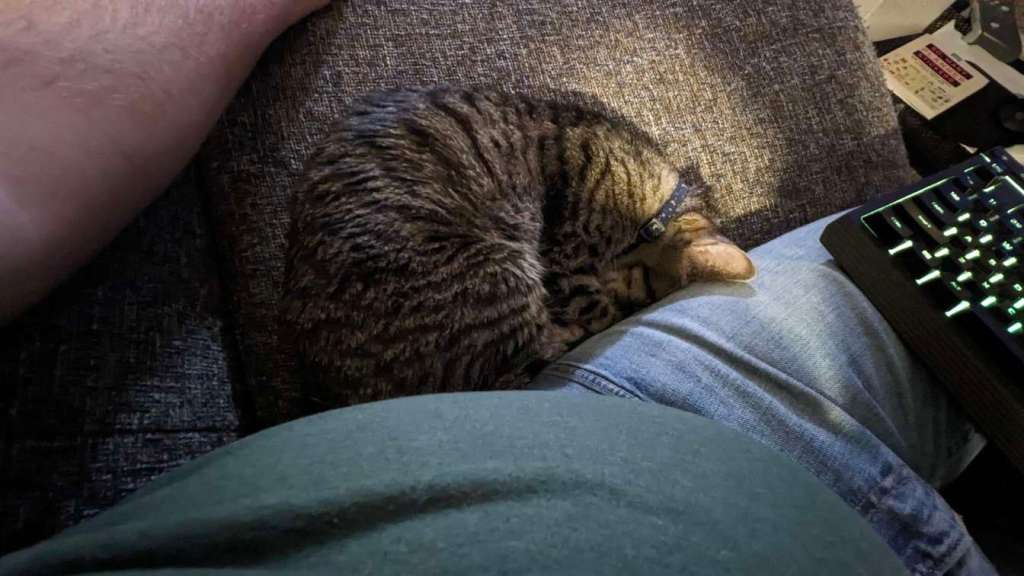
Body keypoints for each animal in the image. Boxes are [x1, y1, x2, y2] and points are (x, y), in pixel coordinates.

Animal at [281, 87, 755, 409]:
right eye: (642, 292)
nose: (628, 303)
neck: (649, 201)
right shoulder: (569, 253)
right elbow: (595, 309)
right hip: (498, 269)